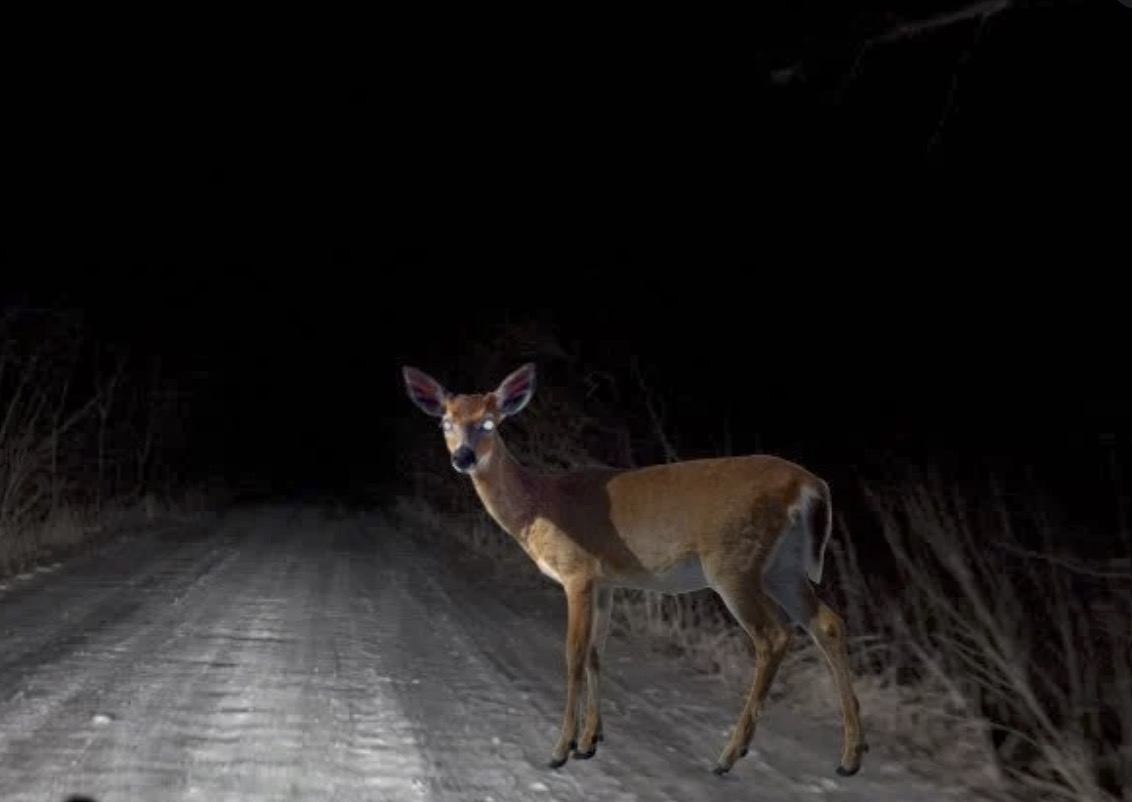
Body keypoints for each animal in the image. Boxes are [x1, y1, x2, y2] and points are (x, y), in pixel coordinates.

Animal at [402, 362, 867, 778]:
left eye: (489, 423)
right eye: (446, 422)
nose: (463, 457)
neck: (540, 506)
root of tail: (810, 485)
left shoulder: (577, 572)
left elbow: (573, 655)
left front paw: (560, 749)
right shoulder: (605, 580)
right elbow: (596, 652)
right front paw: (589, 741)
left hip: (734, 563)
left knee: (773, 636)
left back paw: (729, 755)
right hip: (783, 566)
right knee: (828, 623)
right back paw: (850, 756)